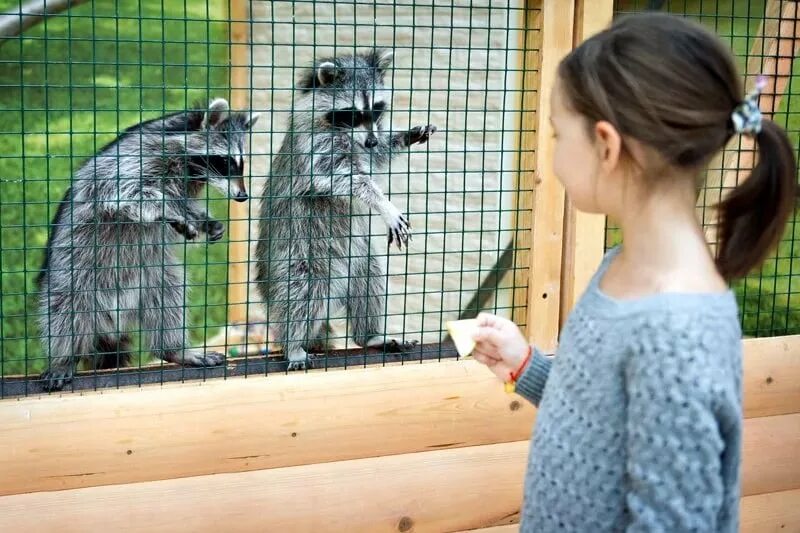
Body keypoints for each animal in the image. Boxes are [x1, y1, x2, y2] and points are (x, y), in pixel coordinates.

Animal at [38, 97, 260, 388]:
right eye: (224, 162)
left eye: (242, 164)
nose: (243, 196)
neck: (192, 169)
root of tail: (113, 320)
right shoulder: (135, 160)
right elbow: (129, 193)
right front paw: (169, 209)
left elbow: (182, 212)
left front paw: (202, 220)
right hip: (73, 273)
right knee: (64, 313)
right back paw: (64, 357)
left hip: (154, 275)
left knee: (170, 299)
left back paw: (174, 349)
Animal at [255, 47, 438, 368]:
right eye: (352, 113)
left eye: (376, 109)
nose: (372, 140)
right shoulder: (316, 144)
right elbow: (340, 176)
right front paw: (381, 202)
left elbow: (378, 157)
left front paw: (401, 136)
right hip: (297, 251)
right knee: (300, 294)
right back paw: (293, 343)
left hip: (360, 257)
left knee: (369, 285)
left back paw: (371, 335)